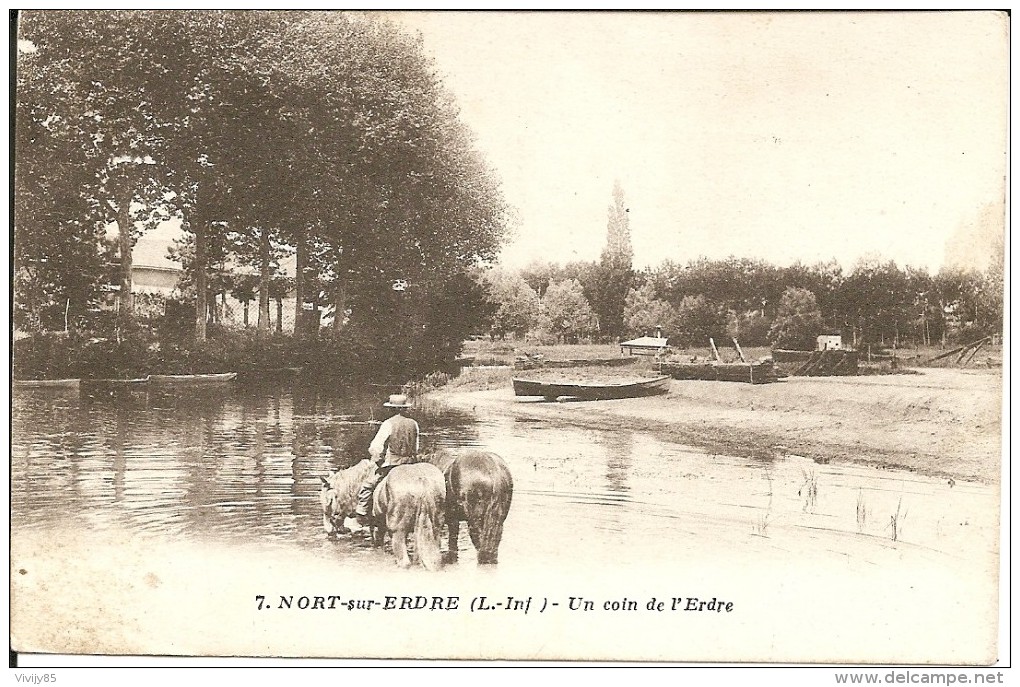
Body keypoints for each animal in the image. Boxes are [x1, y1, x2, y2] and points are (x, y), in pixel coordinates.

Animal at [318, 460, 446, 566]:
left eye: (328, 502)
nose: (329, 533)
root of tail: (422, 481)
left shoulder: (375, 524)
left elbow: (377, 542)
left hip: (397, 530)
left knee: (404, 561)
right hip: (432, 527)